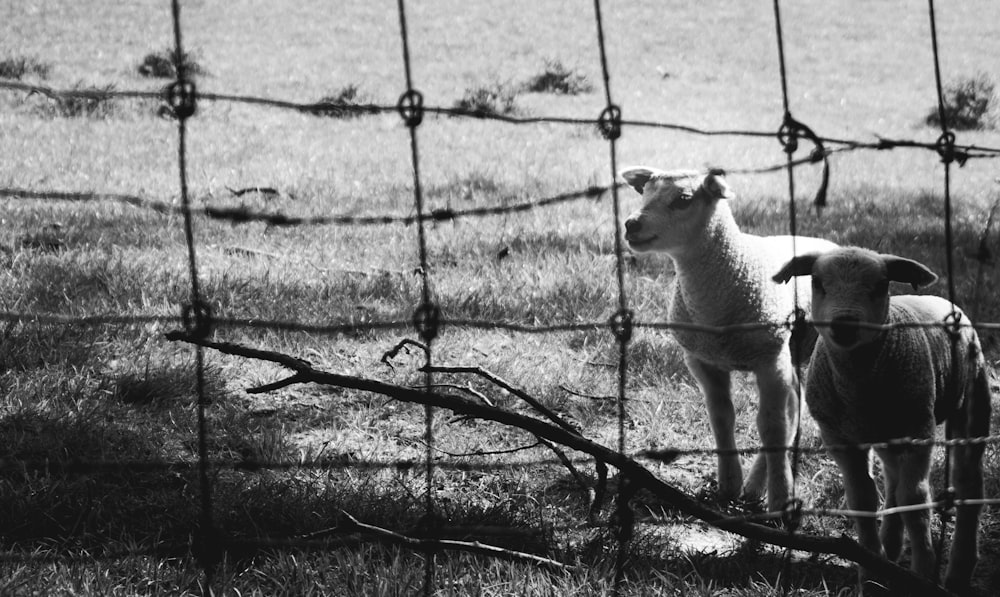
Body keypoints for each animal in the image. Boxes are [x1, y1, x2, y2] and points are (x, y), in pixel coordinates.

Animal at [624, 165, 836, 510]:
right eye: (644, 194)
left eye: (683, 199)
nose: (631, 224)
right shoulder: (701, 360)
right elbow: (722, 418)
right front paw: (728, 487)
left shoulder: (769, 359)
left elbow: (771, 426)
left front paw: (779, 499)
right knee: (794, 407)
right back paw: (753, 487)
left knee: (790, 415)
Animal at [772, 247, 992, 592]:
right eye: (817, 281)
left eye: (880, 285)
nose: (845, 324)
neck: (858, 387)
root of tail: (941, 300)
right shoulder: (839, 438)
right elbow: (862, 497)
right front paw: (871, 572)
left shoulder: (918, 430)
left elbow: (915, 499)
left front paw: (921, 574)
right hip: (888, 434)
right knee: (893, 479)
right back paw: (890, 548)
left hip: (971, 403)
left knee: (968, 483)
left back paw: (957, 572)